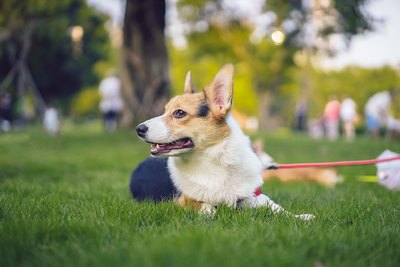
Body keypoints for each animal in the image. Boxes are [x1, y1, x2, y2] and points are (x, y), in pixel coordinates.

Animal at [136, 65, 314, 220]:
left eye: (179, 113)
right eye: (165, 111)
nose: (139, 129)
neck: (213, 159)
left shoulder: (253, 195)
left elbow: (276, 206)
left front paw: (301, 216)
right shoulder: (185, 199)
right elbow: (205, 205)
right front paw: (209, 214)